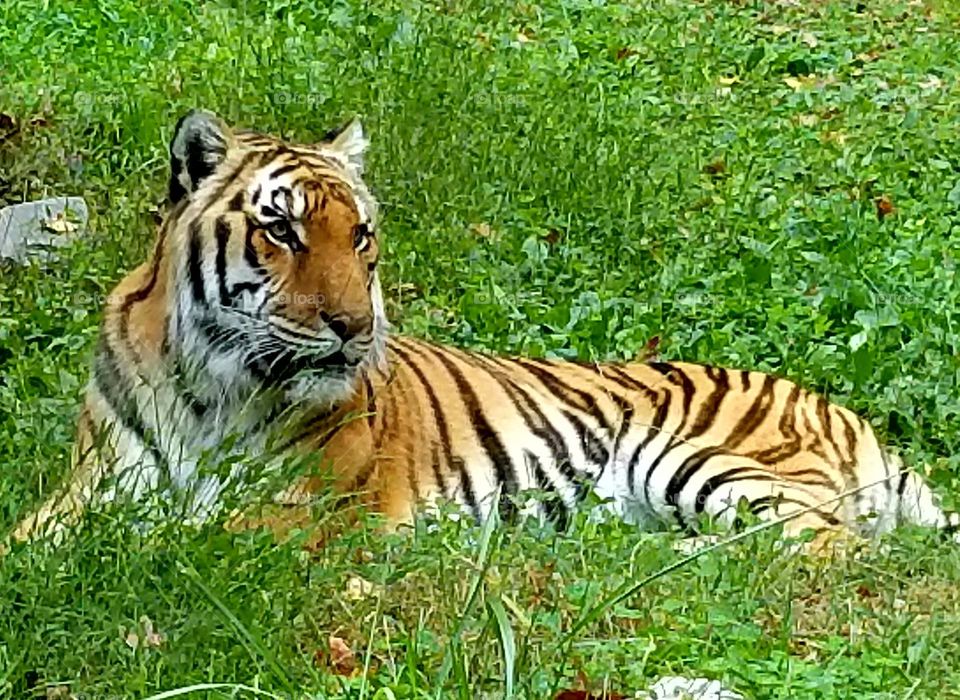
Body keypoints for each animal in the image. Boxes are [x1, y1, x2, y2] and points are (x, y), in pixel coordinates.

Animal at [7, 109, 958, 553]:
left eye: (360, 237)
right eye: (283, 230)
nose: (354, 327)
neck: (206, 384)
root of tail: (844, 412)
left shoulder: (307, 512)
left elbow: (187, 536)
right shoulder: (91, 489)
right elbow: (34, 537)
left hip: (700, 460)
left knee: (829, 548)